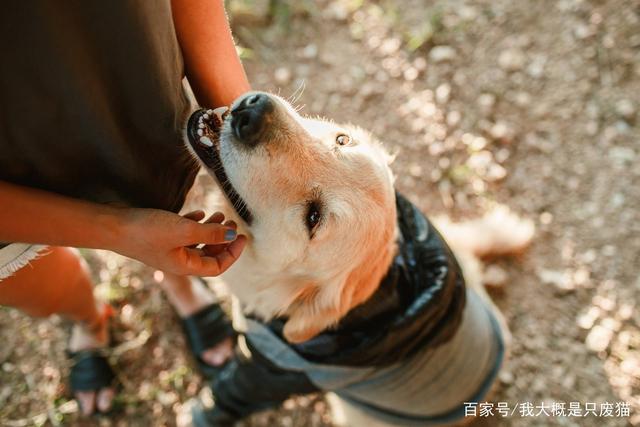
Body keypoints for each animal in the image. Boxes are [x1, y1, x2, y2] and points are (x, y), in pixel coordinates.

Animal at [182, 92, 532, 426]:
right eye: (342, 140)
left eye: (313, 217)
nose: (254, 111)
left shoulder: (270, 370)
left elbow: (229, 394)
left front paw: (198, 414)